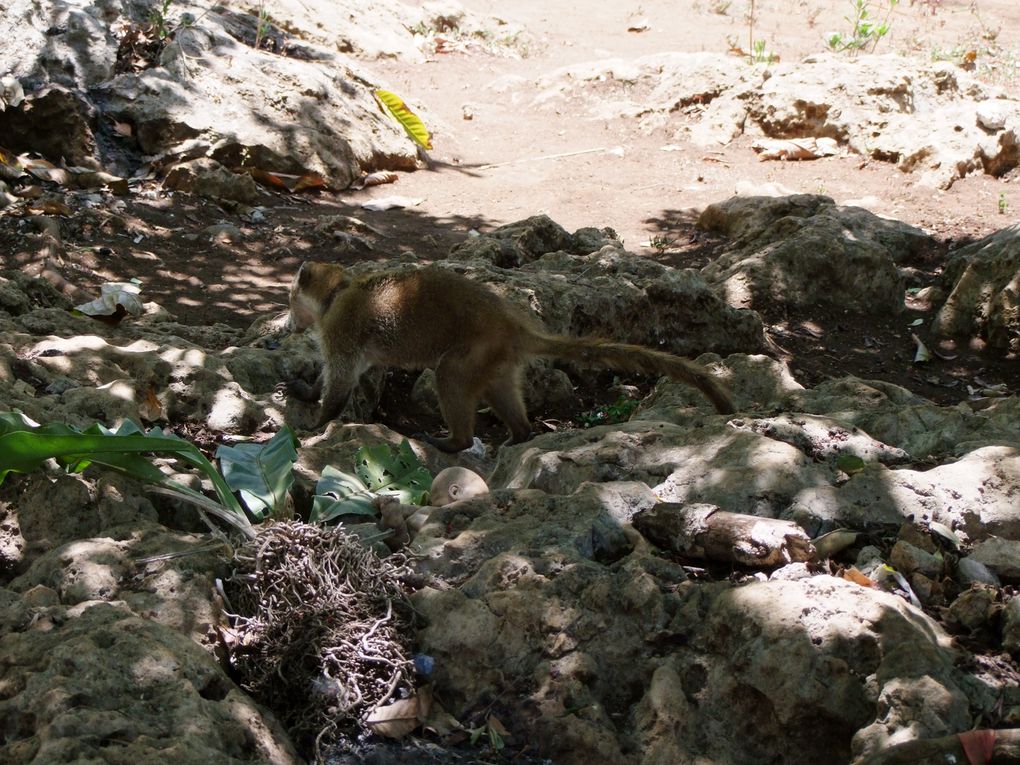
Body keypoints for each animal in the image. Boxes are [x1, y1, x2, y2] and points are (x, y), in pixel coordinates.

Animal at [287, 261, 734, 452]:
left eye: (290, 298)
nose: (288, 324)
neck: (338, 290)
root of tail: (512, 324)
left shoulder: (341, 327)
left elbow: (342, 380)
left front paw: (318, 420)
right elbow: (345, 376)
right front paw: (306, 390)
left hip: (475, 349)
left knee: (448, 376)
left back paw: (457, 441)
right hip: (497, 360)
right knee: (498, 393)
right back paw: (519, 434)